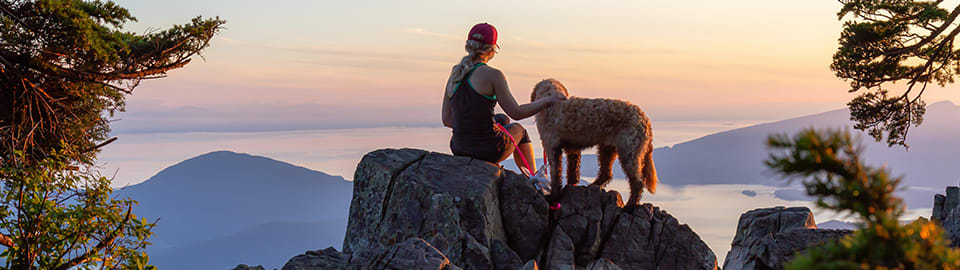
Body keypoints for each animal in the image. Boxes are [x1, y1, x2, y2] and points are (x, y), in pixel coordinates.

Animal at [532, 79, 660, 206]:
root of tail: (645, 119)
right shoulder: (572, 148)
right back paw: (593, 185)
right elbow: (572, 169)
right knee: (607, 173)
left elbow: (555, 173)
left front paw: (553, 196)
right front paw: (570, 184)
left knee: (637, 182)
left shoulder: (551, 146)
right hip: (607, 148)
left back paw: (630, 205)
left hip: (629, 152)